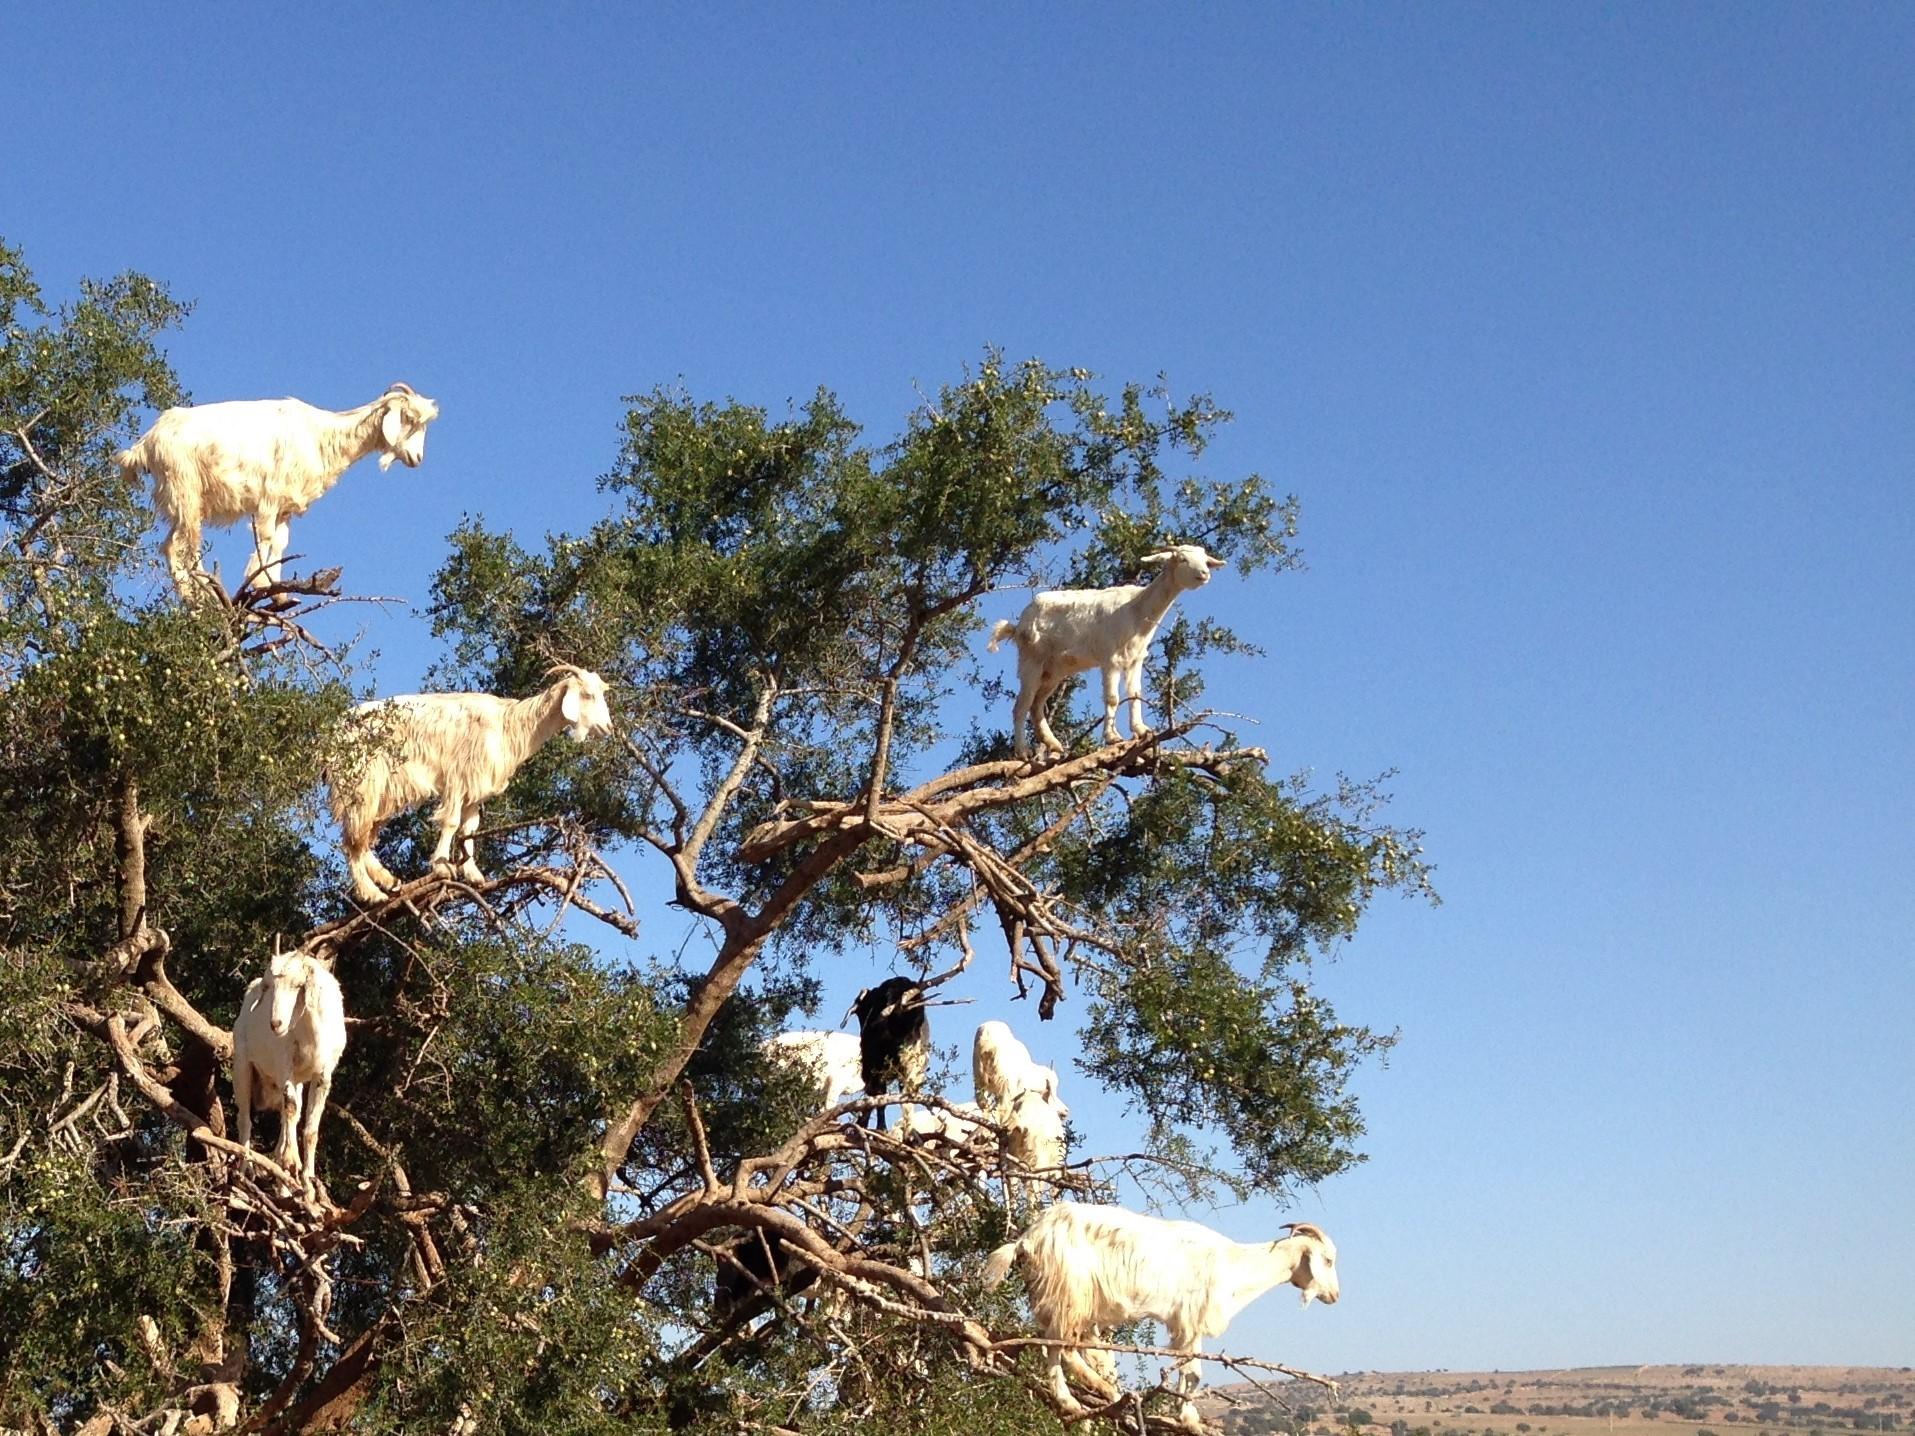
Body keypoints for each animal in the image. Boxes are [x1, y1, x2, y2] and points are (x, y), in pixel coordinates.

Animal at [115, 382, 440, 602]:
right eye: (409, 419)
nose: (417, 458)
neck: (322, 437)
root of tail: (147, 441)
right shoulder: (268, 499)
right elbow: (267, 537)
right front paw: (259, 581)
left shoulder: (285, 506)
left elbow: (281, 543)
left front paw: (277, 592)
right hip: (186, 491)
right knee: (185, 546)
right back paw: (203, 594)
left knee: (170, 546)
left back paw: (191, 596)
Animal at [231, 949, 347, 1201]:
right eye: (269, 987)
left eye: (297, 986)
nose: (276, 1023)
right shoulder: (285, 1067)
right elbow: (292, 1109)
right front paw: (291, 1161)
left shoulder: (323, 1075)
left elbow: (310, 1129)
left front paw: (309, 1186)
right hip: (242, 1065)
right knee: (245, 1120)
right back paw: (244, 1176)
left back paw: (283, 1187)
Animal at [331, 665, 614, 903]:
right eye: (588, 695)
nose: (608, 728)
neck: (509, 725)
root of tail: (335, 730)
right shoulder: (459, 777)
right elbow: (451, 822)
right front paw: (442, 866)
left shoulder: (477, 788)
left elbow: (469, 828)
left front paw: (472, 873)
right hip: (361, 783)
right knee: (352, 840)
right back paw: (372, 893)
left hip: (382, 794)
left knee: (363, 836)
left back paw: (388, 880)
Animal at [981, 1203, 1338, 1429]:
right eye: (1329, 1260)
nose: (1334, 1296)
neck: (1235, 1264)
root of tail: (1030, 1237)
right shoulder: (1190, 1321)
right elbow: (1194, 1373)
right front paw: (1189, 1419)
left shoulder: (1186, 1326)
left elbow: (1189, 1370)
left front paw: (1185, 1413)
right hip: (1072, 1293)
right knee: (1063, 1348)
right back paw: (1093, 1394)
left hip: (1058, 1297)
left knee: (1051, 1344)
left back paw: (1084, 1397)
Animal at [988, 543, 1227, 757]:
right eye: (1182, 559)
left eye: (1205, 560)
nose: (1204, 574)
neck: (1136, 610)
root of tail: (1017, 626)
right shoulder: (1110, 658)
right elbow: (1112, 697)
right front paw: (1113, 737)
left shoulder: (1135, 659)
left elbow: (1135, 694)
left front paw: (1141, 730)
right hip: (1031, 660)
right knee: (1021, 705)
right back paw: (1023, 751)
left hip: (1054, 670)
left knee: (1036, 706)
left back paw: (1053, 744)